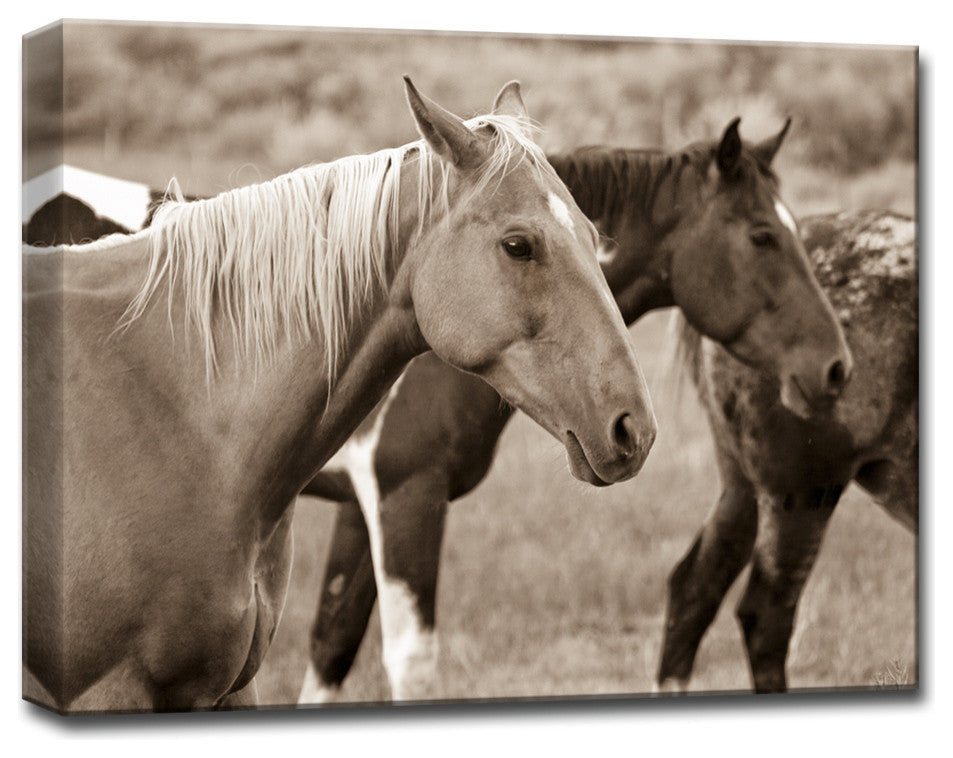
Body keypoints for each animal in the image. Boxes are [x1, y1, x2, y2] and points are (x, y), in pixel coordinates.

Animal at [293, 119, 855, 703]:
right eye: (762, 236)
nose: (836, 367)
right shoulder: (407, 495)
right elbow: (408, 659)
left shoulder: (362, 504)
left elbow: (332, 644)